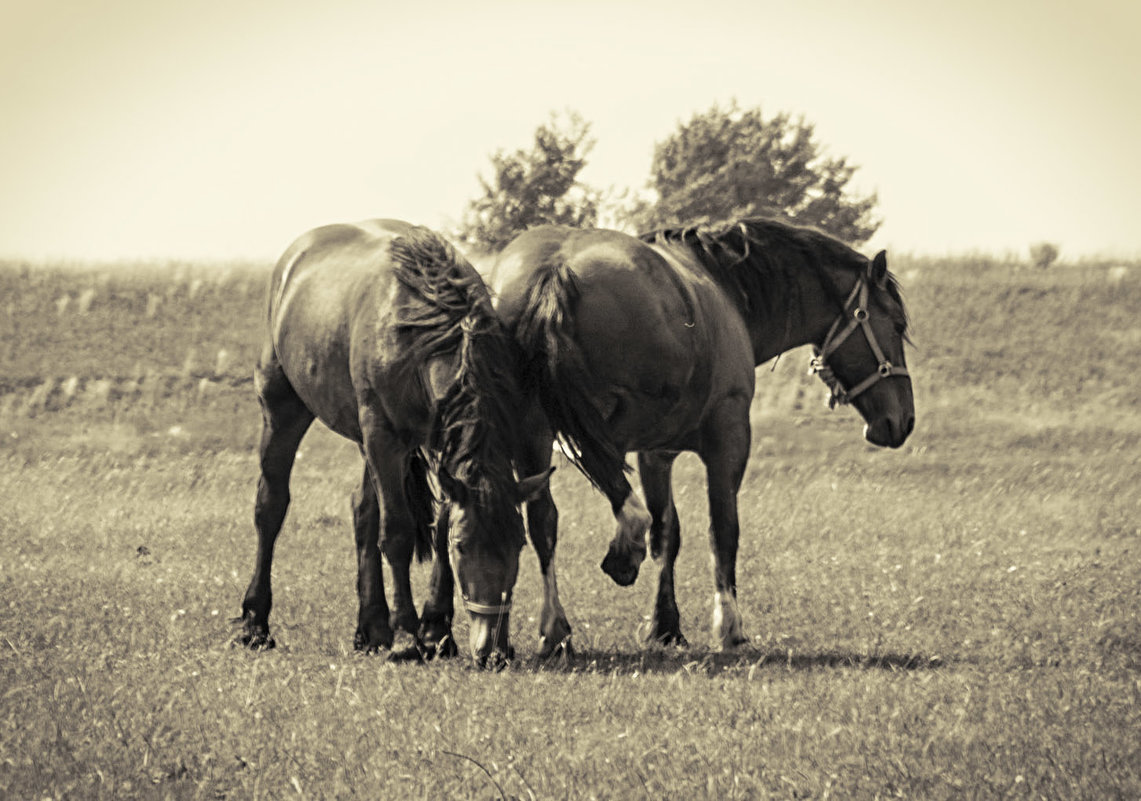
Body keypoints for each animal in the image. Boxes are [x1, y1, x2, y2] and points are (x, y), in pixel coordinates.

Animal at [235, 219, 547, 666]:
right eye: (463, 547)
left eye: (519, 545)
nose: (492, 649)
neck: (422, 332)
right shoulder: (384, 437)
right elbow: (397, 530)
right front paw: (406, 636)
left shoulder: (434, 443)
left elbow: (434, 521)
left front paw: (435, 632)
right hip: (285, 411)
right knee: (270, 506)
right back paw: (254, 623)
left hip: (367, 442)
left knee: (362, 512)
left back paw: (372, 627)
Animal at [467, 216, 912, 657]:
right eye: (897, 324)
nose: (902, 420)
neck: (727, 287)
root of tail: (556, 269)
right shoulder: (728, 437)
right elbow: (723, 530)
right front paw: (729, 627)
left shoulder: (655, 453)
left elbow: (667, 533)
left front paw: (666, 625)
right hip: (598, 417)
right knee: (600, 468)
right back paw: (623, 547)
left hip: (534, 429)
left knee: (543, 519)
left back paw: (551, 628)